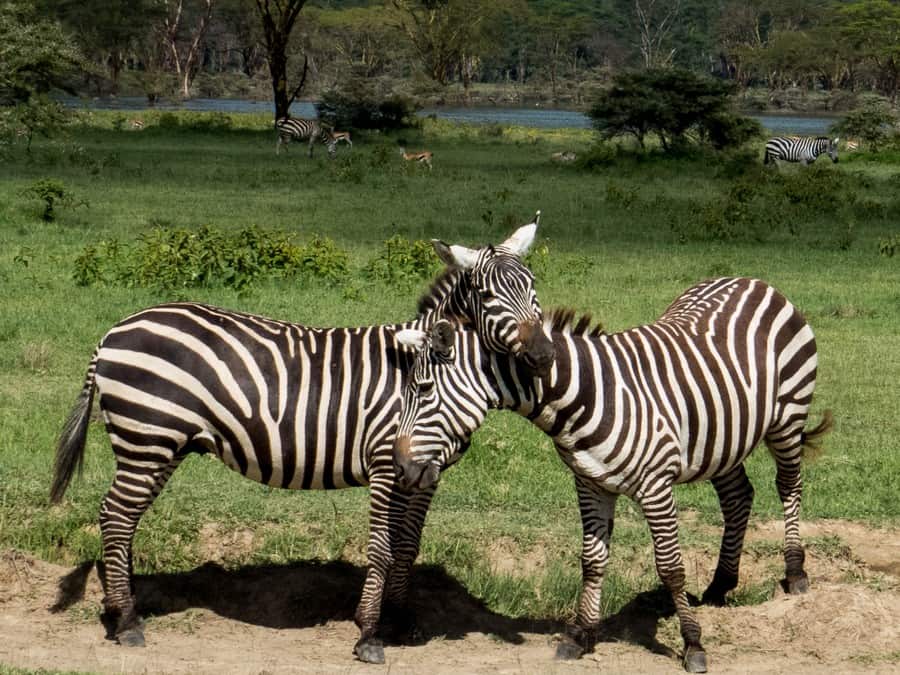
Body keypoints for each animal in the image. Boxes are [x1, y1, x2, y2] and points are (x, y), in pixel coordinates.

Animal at [51, 218, 556, 664]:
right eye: (488, 296)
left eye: (534, 287)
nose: (544, 355)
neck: (429, 371)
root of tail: (114, 331)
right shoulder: (387, 463)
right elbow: (382, 547)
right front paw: (368, 634)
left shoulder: (426, 472)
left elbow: (408, 546)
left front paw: (400, 620)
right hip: (147, 439)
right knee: (117, 517)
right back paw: (127, 622)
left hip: (160, 445)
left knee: (120, 517)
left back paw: (122, 609)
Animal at [394, 278, 836, 672]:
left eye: (424, 389)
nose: (400, 467)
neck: (586, 394)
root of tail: (752, 281)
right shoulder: (590, 482)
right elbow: (592, 560)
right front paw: (580, 636)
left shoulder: (656, 485)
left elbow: (671, 567)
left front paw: (693, 645)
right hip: (722, 438)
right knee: (738, 496)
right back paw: (720, 586)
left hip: (788, 415)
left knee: (788, 486)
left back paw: (795, 573)